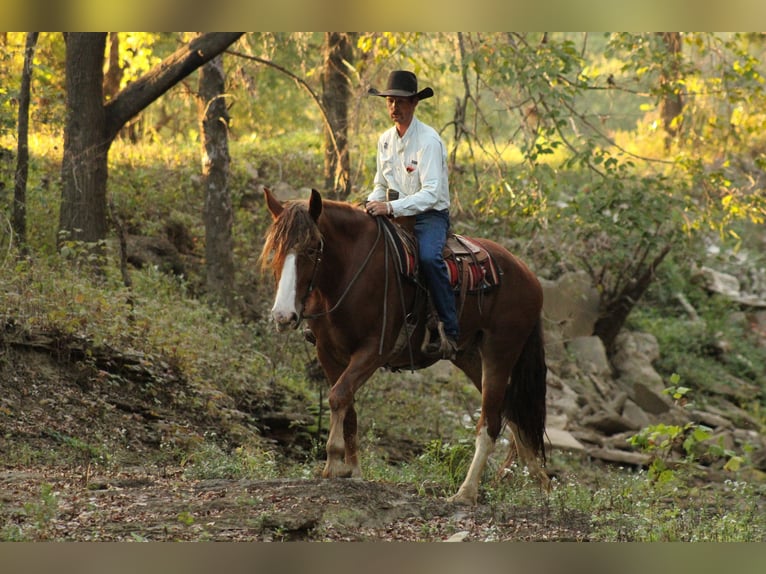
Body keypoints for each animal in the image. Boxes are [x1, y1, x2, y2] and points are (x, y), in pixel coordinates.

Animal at [261, 187, 549, 505]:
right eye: (275, 249)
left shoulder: (374, 349)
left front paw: (334, 463)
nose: (283, 316)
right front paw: (353, 471)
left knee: (491, 422)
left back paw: (466, 492)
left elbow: (338, 396)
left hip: (500, 351)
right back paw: (542, 484)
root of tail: (529, 276)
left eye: (313, 249)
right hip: (471, 357)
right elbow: (348, 406)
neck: (349, 272)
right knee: (511, 412)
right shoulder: (328, 352)